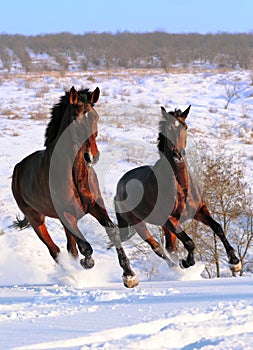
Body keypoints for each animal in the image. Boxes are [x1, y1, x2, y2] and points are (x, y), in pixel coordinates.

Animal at [11, 87, 138, 288]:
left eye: (96, 117)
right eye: (75, 119)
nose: (92, 156)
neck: (74, 175)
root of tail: (17, 169)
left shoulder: (95, 206)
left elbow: (112, 232)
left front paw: (129, 276)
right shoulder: (66, 215)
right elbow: (85, 247)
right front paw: (87, 263)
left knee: (69, 248)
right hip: (36, 219)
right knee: (55, 250)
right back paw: (71, 275)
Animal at [114, 105, 241, 274]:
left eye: (185, 127)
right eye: (167, 129)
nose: (177, 154)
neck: (181, 187)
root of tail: (119, 187)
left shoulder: (199, 210)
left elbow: (218, 227)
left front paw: (234, 261)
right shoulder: (170, 219)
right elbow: (189, 242)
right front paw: (186, 262)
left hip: (162, 226)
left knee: (169, 247)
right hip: (138, 223)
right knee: (155, 247)